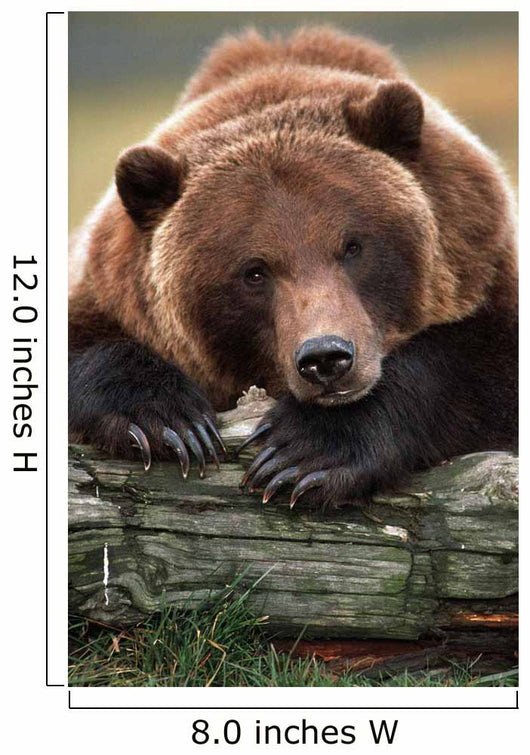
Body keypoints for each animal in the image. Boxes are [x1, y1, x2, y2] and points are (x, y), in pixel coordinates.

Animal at [69, 27, 518, 507]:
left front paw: (304, 452)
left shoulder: (485, 264)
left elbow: (477, 367)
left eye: (353, 246)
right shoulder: (109, 288)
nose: (326, 358)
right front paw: (169, 422)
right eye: (254, 271)